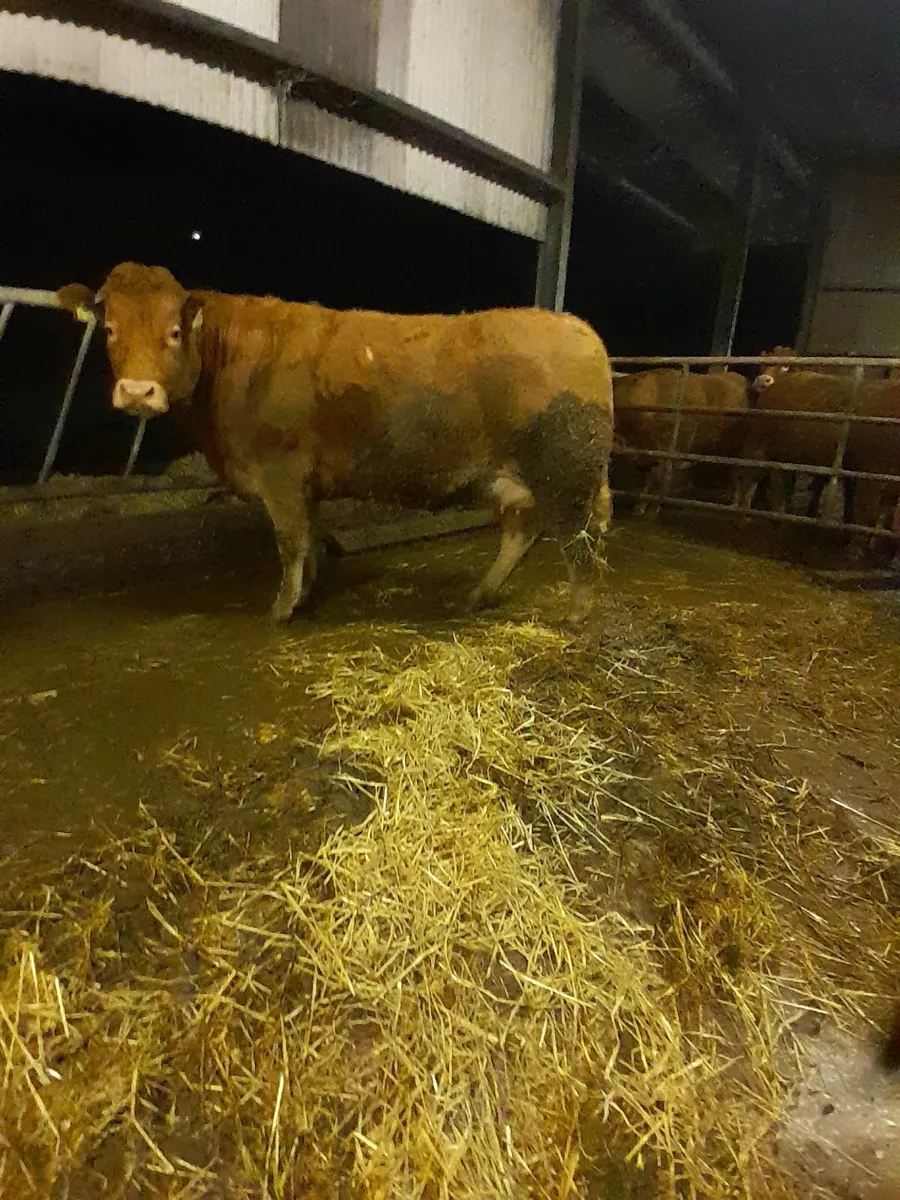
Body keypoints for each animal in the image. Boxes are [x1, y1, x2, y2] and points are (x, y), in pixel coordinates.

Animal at [57, 263, 614, 624]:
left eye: (174, 331)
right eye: (109, 329)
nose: (137, 392)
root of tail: (579, 327)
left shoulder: (279, 473)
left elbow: (289, 541)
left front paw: (282, 609)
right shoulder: (305, 481)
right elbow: (310, 536)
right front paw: (306, 593)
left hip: (566, 477)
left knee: (578, 541)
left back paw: (577, 616)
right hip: (517, 481)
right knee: (523, 533)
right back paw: (478, 595)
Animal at [613, 367, 749, 515]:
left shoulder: (666, 453)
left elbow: (660, 481)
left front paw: (653, 510)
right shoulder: (644, 456)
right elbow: (644, 480)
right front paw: (639, 507)